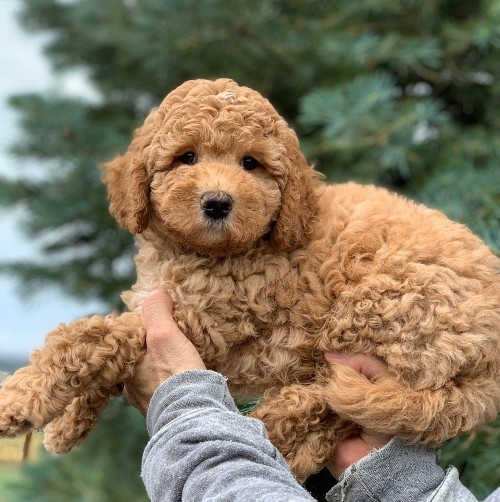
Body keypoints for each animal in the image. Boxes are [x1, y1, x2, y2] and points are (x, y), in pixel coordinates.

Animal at [0, 77, 500, 478]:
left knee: (329, 394)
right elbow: (101, 345)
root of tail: (491, 363)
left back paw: (266, 432)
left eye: (250, 164)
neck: (207, 251)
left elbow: (82, 338)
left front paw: (18, 400)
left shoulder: (203, 320)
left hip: (373, 309)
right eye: (186, 157)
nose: (218, 202)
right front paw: (67, 425)